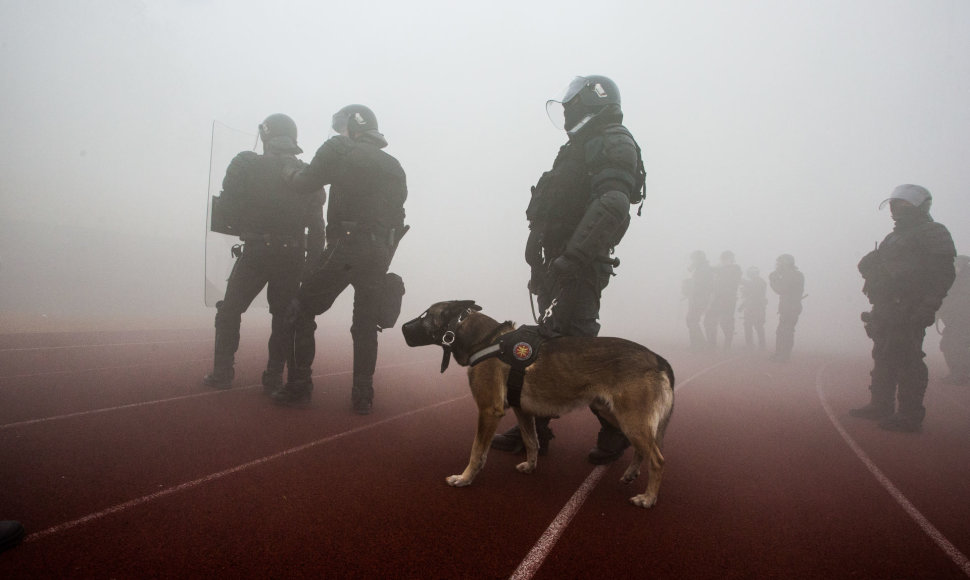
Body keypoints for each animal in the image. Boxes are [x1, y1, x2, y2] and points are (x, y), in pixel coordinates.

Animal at [400, 300, 672, 508]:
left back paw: (648, 498)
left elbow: (477, 451)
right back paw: (630, 473)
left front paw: (465, 478)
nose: (401, 327)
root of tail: (657, 359)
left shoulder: (488, 411)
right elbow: (532, 441)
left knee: (658, 460)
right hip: (615, 414)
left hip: (630, 420)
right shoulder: (523, 411)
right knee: (640, 448)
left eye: (426, 316)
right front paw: (531, 466)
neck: (486, 340)